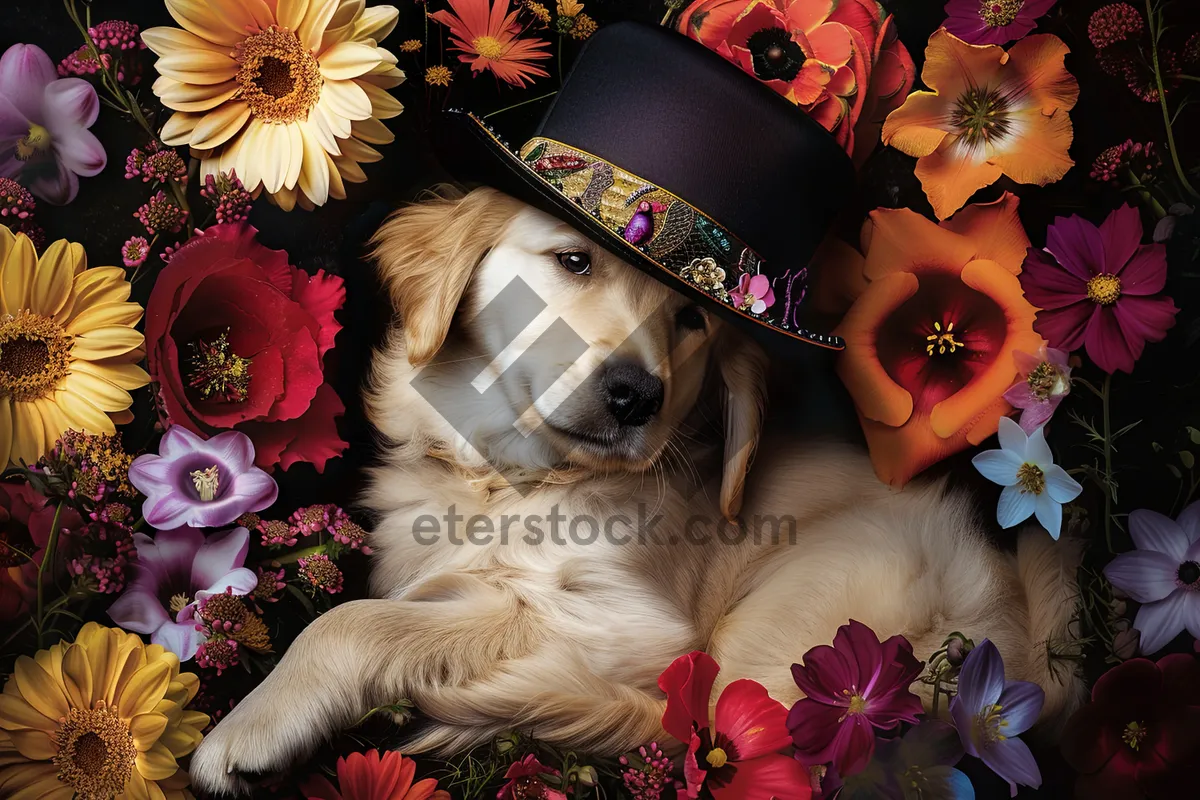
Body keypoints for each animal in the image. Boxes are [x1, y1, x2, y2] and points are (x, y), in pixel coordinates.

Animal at [189, 188, 1089, 796]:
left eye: (691, 319)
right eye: (574, 260)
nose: (635, 397)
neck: (510, 481)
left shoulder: (632, 627)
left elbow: (357, 620)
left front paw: (250, 726)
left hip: (797, 618)